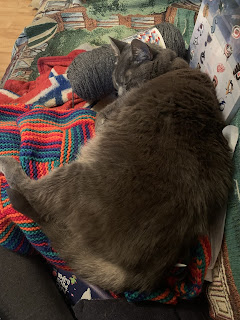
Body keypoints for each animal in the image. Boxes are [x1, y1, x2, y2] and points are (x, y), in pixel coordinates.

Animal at [0, 39, 232, 292]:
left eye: (127, 83)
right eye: (115, 83)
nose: (119, 93)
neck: (172, 67)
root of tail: (147, 270)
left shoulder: (107, 115)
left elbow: (98, 117)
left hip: (73, 178)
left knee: (30, 192)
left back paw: (7, 163)